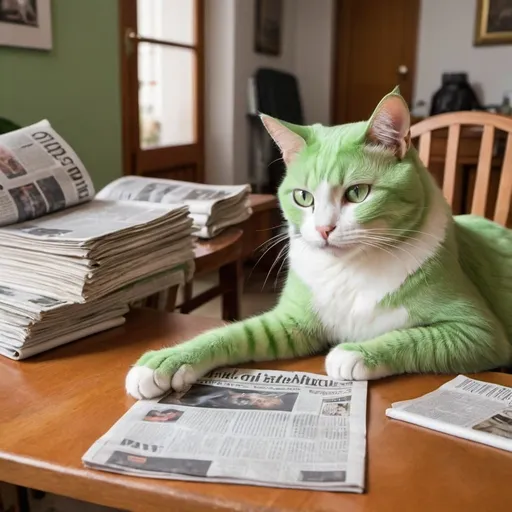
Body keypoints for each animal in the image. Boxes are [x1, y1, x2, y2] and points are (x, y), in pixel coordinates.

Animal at [126, 88, 512, 400]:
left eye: (357, 193)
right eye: (303, 197)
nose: (325, 229)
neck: (351, 269)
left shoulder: (478, 332)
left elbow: (416, 339)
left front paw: (356, 353)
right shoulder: (291, 324)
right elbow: (230, 335)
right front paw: (164, 362)